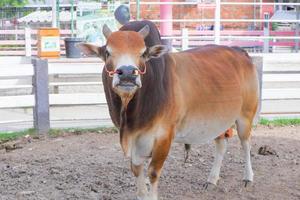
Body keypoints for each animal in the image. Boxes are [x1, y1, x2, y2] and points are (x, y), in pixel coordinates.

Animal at [78, 20, 258, 200]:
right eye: (108, 52)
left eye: (143, 53)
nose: (128, 73)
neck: (132, 116)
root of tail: (240, 52)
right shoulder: (135, 142)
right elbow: (137, 172)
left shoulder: (164, 137)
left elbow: (153, 173)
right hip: (218, 120)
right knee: (221, 144)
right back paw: (212, 180)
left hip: (245, 116)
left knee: (246, 143)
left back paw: (248, 178)